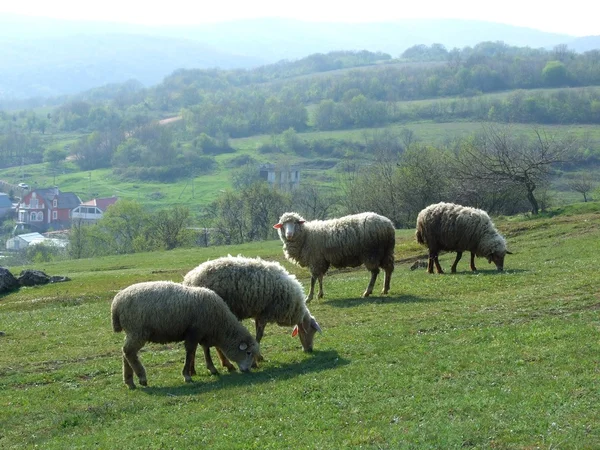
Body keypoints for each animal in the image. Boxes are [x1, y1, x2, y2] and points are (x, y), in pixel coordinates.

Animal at [110, 280, 258, 388]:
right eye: (248, 352)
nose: (248, 370)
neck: (219, 324)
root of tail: (116, 303)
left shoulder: (202, 333)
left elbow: (205, 350)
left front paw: (212, 369)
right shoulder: (194, 332)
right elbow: (190, 352)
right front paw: (187, 375)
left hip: (131, 331)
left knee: (126, 352)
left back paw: (129, 381)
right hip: (138, 331)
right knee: (129, 352)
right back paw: (142, 377)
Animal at [183, 255, 324, 370]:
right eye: (311, 331)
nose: (310, 350)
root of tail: (189, 279)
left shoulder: (258, 314)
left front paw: (258, 357)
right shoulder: (264, 314)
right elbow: (258, 337)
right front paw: (256, 360)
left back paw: (196, 368)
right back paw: (224, 365)